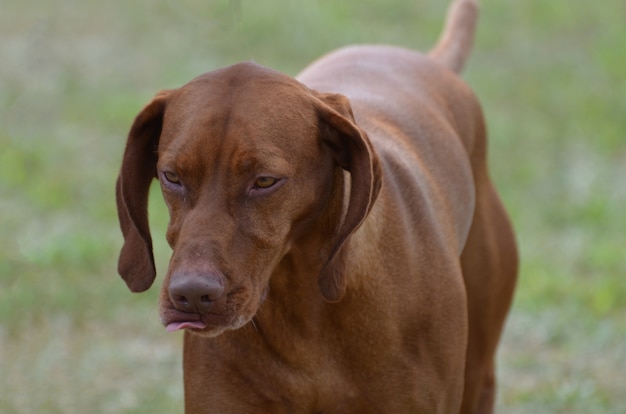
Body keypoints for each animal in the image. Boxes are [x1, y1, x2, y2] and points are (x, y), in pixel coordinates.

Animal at [114, 0, 516, 410]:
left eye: (264, 181)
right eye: (171, 176)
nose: (192, 295)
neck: (303, 311)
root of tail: (430, 61)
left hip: (477, 373)